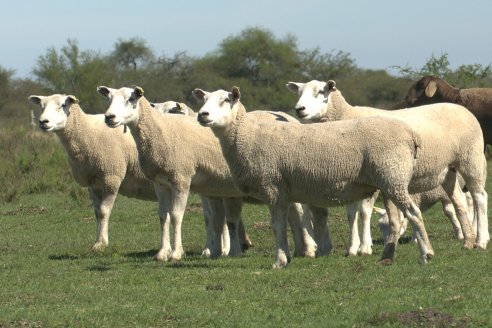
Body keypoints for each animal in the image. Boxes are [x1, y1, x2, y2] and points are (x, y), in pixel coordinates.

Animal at [26, 93, 248, 258]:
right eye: (42, 105)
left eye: (63, 105)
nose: (43, 122)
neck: (86, 132)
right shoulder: (94, 183)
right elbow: (97, 212)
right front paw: (98, 240)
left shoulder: (111, 176)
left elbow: (104, 211)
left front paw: (102, 244)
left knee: (213, 216)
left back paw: (218, 249)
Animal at [99, 86, 320, 262]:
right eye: (109, 99)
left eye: (131, 99)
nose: (109, 117)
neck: (161, 131)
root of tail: (289, 117)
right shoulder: (161, 183)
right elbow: (165, 217)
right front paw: (163, 253)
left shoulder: (181, 178)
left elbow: (177, 215)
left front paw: (176, 253)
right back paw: (301, 249)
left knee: (298, 211)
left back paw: (308, 248)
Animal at [192, 84, 438, 266]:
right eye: (204, 101)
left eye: (225, 100)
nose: (202, 115)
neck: (246, 135)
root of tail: (411, 134)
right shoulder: (283, 191)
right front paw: (290, 255)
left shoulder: (272, 186)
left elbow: (278, 225)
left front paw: (280, 261)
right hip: (390, 182)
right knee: (396, 220)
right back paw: (387, 256)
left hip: (392, 177)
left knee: (414, 213)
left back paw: (426, 253)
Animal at [284, 79, 488, 249]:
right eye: (299, 92)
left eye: (321, 91)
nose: (299, 108)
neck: (347, 117)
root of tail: (462, 109)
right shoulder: (350, 178)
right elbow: (351, 213)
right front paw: (353, 247)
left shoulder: (371, 177)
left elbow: (364, 212)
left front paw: (365, 246)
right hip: (448, 169)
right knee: (460, 201)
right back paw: (468, 239)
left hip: (471, 159)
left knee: (479, 197)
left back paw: (481, 240)